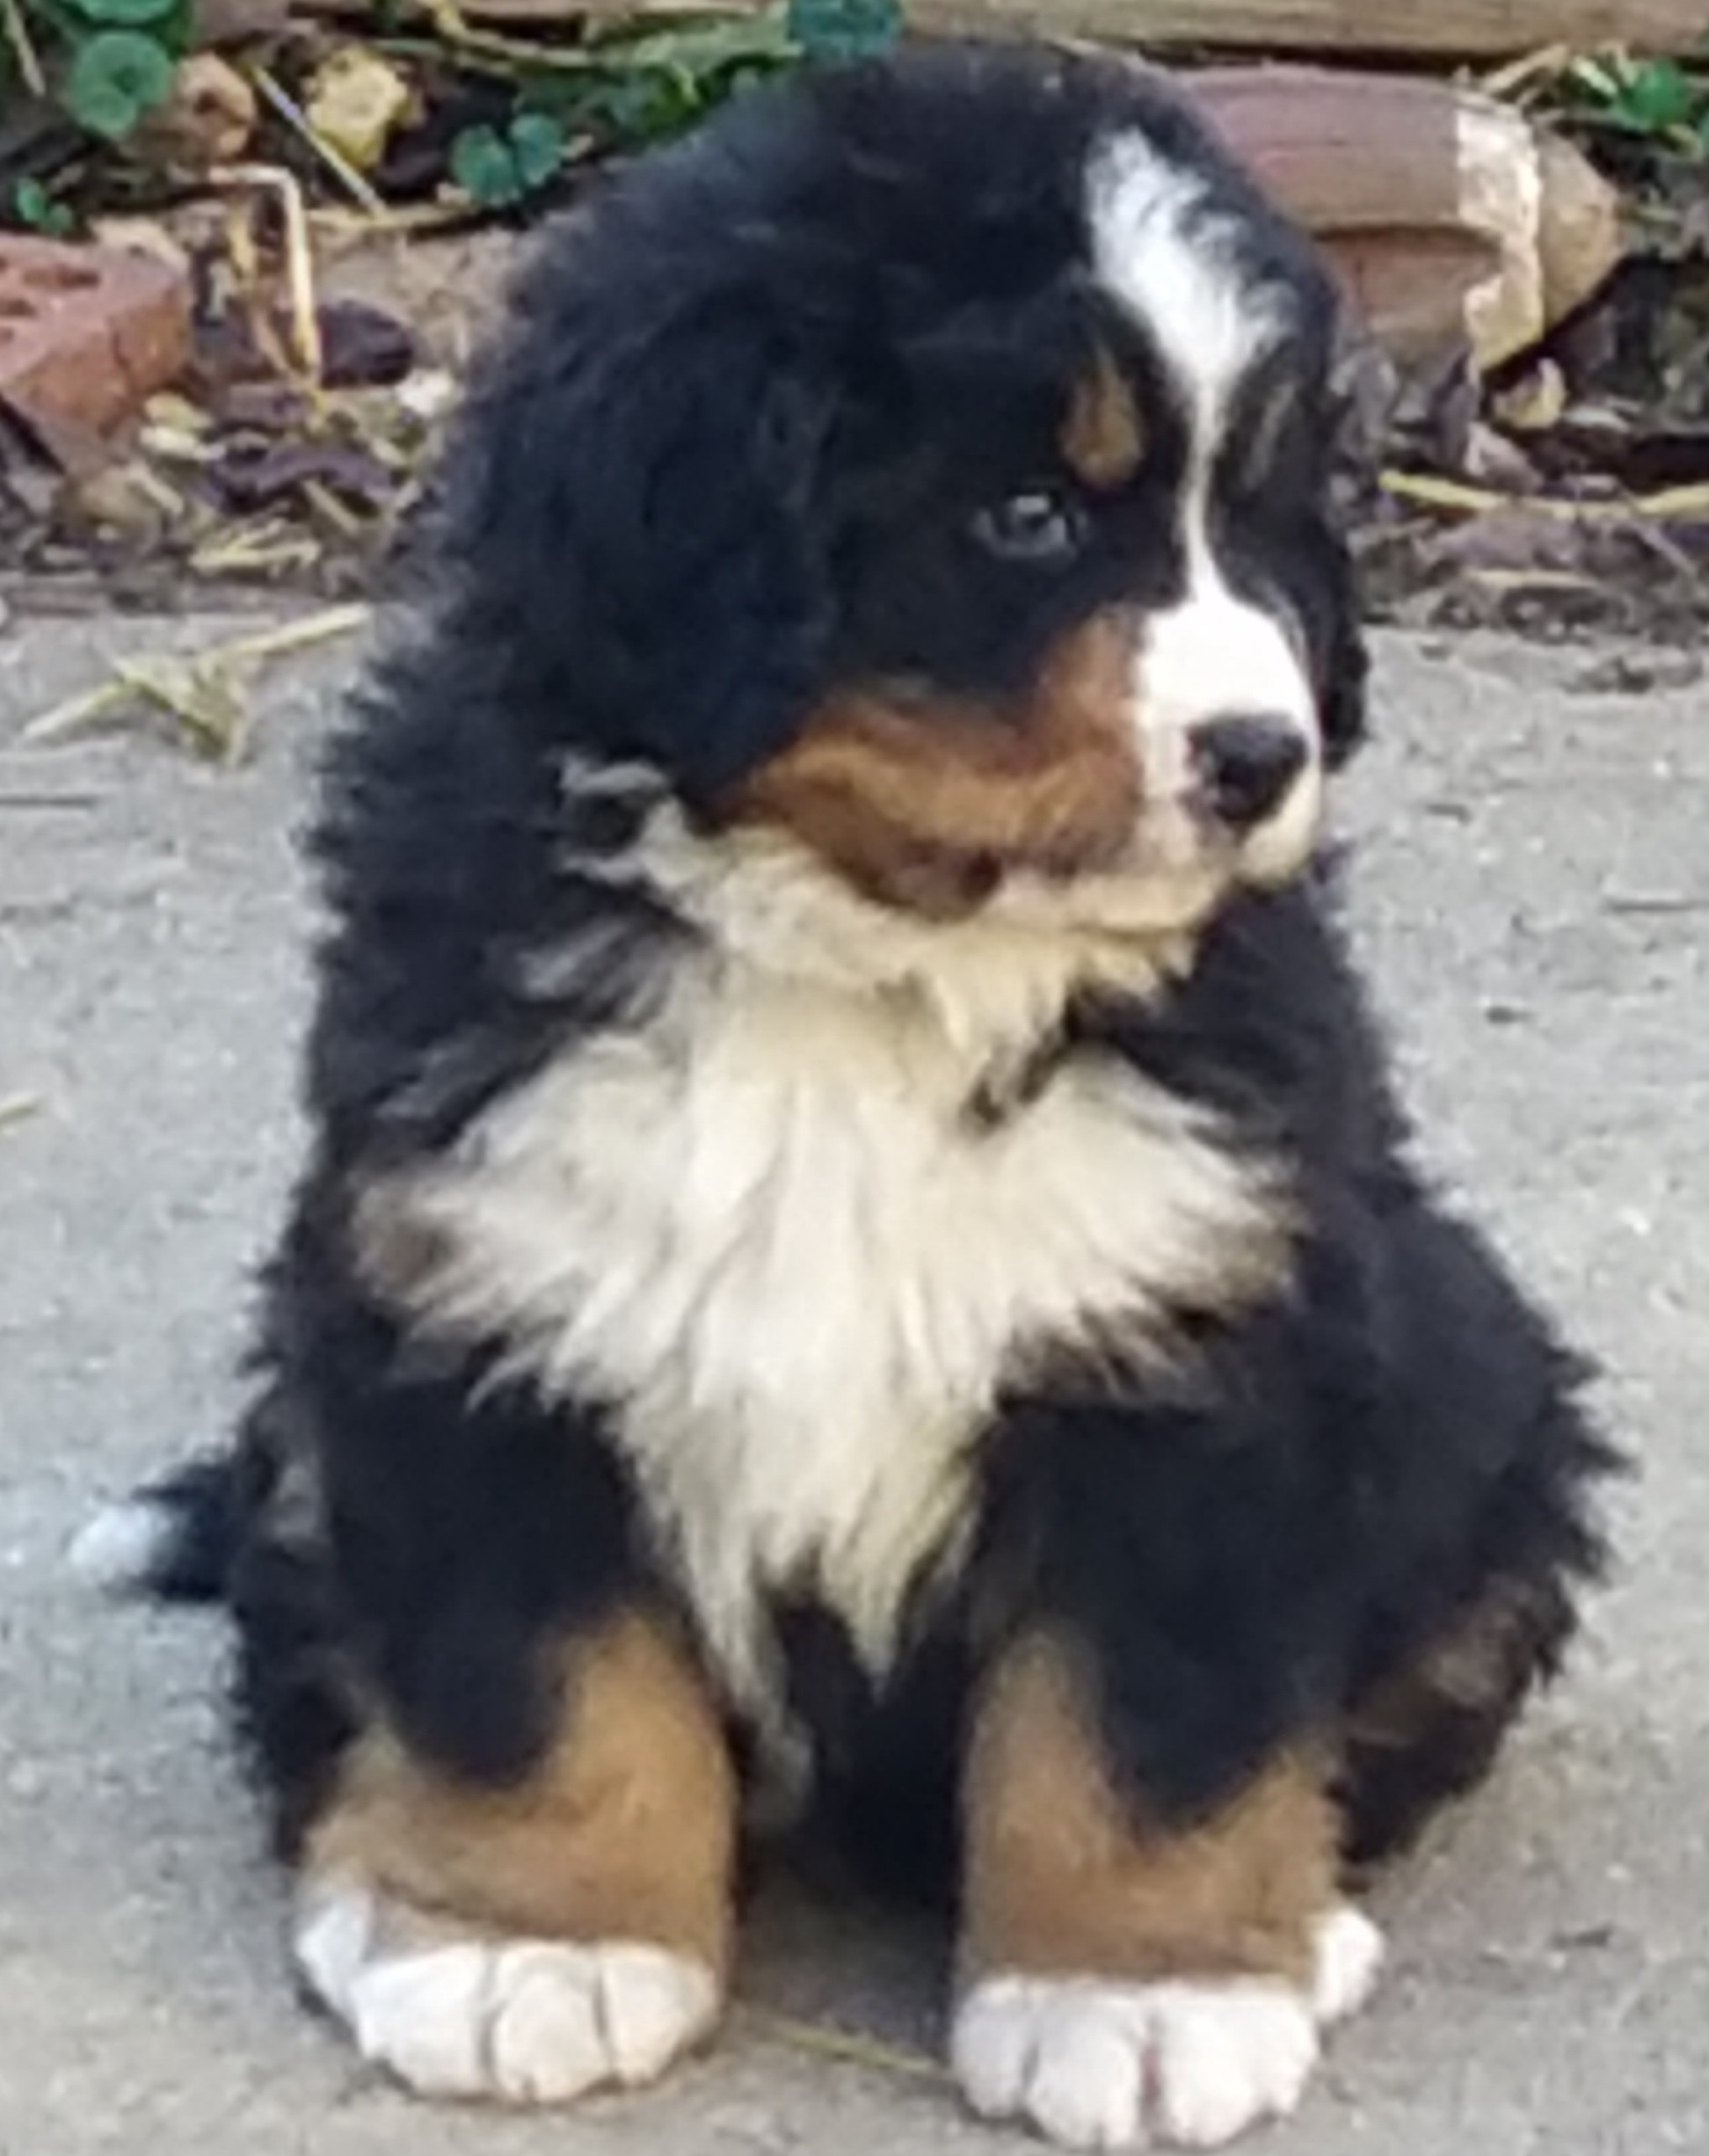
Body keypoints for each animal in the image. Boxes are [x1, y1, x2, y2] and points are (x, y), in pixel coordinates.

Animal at [86, 38, 1620, 2156]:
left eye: (1262, 519)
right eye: (1030, 516)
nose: (1261, 751)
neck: (862, 969)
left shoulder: (1197, 1342)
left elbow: (1143, 1715)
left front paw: (1142, 1992)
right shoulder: (475, 1305)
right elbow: (534, 1673)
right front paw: (531, 1944)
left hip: (1483, 1409)